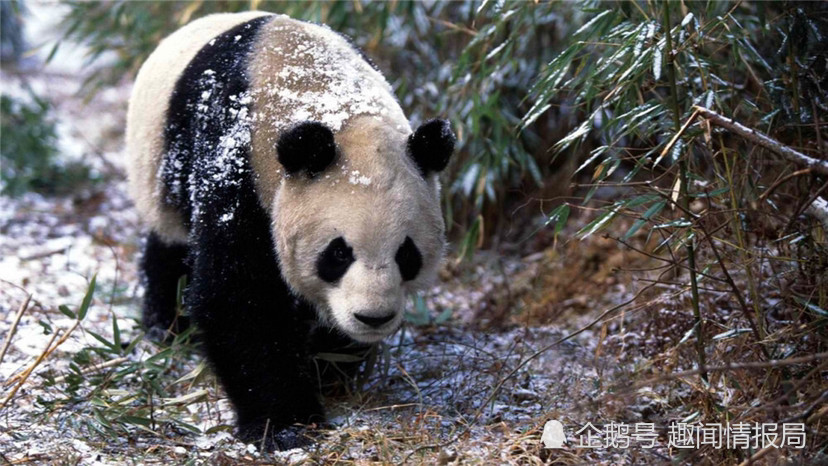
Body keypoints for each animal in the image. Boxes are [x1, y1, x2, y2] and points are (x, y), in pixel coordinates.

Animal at [126, 11, 456, 452]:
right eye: (338, 253)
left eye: (407, 254)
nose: (373, 317)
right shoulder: (235, 164)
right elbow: (240, 297)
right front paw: (286, 423)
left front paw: (329, 367)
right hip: (160, 169)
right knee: (171, 244)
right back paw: (168, 324)